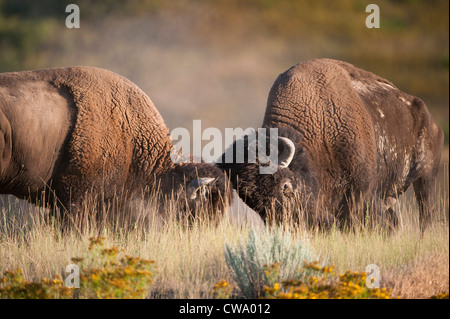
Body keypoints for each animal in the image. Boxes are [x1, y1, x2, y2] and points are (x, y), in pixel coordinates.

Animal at [220, 58, 444, 231]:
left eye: (286, 186)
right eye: (249, 200)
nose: (288, 224)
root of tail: (433, 122)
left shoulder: (361, 191)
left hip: (426, 177)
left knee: (426, 213)